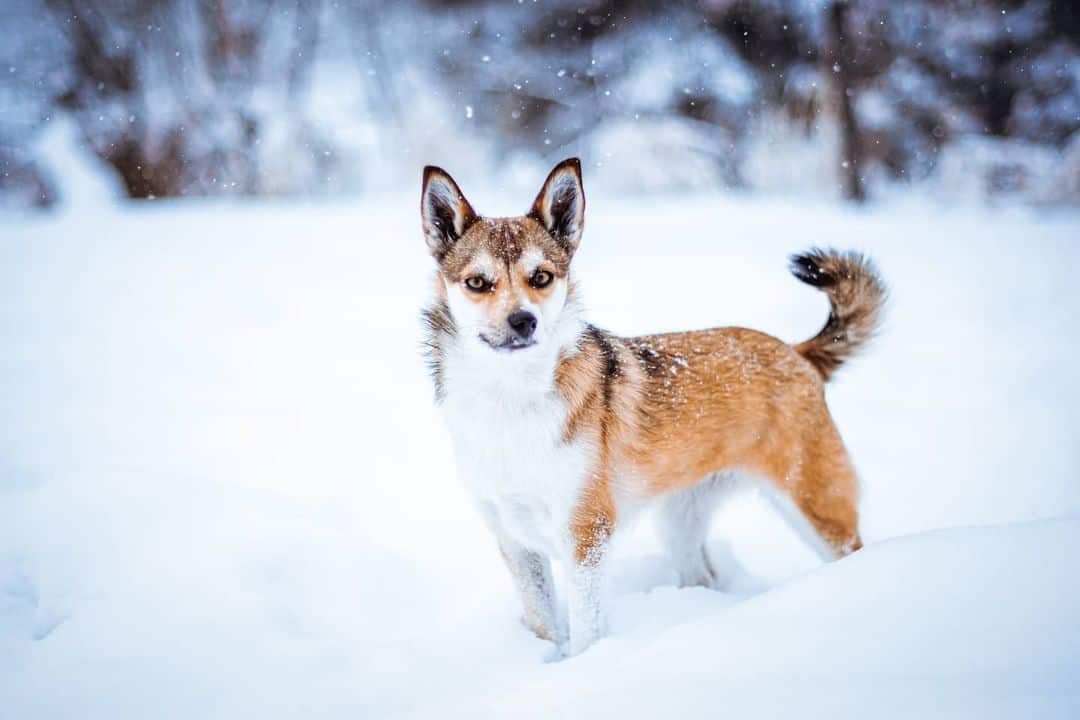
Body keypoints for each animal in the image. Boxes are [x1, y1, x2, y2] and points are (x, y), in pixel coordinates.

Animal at [416, 158, 881, 660]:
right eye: (477, 283)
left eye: (541, 277)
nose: (524, 321)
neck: (511, 400)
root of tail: (797, 353)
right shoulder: (516, 541)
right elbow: (544, 622)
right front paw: (548, 659)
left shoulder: (587, 535)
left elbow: (586, 628)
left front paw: (584, 664)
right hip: (681, 522)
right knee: (704, 574)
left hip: (817, 505)